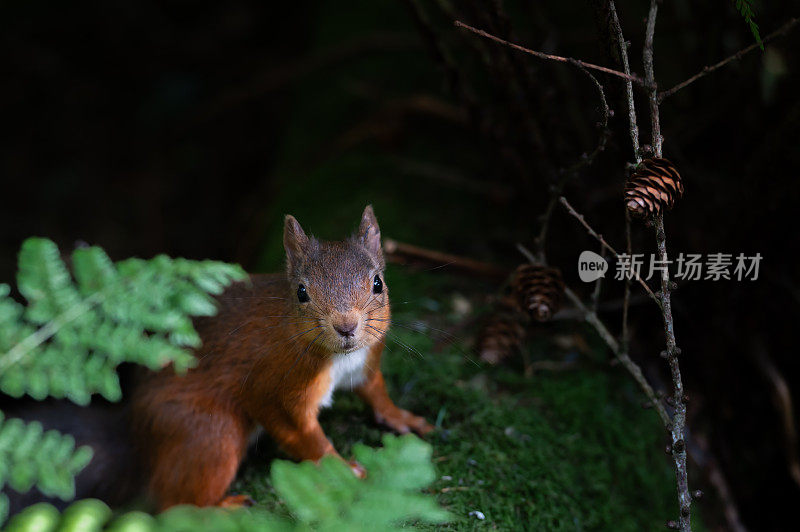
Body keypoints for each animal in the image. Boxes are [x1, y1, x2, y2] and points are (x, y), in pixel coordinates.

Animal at [129, 206, 434, 510]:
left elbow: (376, 392)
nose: (346, 326)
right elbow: (305, 437)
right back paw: (227, 506)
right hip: (210, 433)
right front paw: (343, 469)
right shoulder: (276, 391)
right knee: (175, 503)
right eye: (301, 292)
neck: (339, 358)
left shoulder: (364, 365)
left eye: (378, 283)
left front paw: (403, 417)